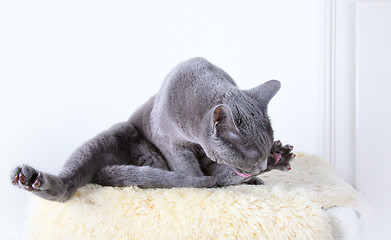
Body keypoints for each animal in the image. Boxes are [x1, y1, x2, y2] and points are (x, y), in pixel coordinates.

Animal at [11, 57, 294, 202]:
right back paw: (32, 179)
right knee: (68, 184)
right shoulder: (171, 142)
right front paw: (203, 185)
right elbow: (190, 171)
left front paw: (273, 157)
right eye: (252, 155)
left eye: (261, 151)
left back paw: (276, 161)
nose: (261, 163)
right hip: (116, 134)